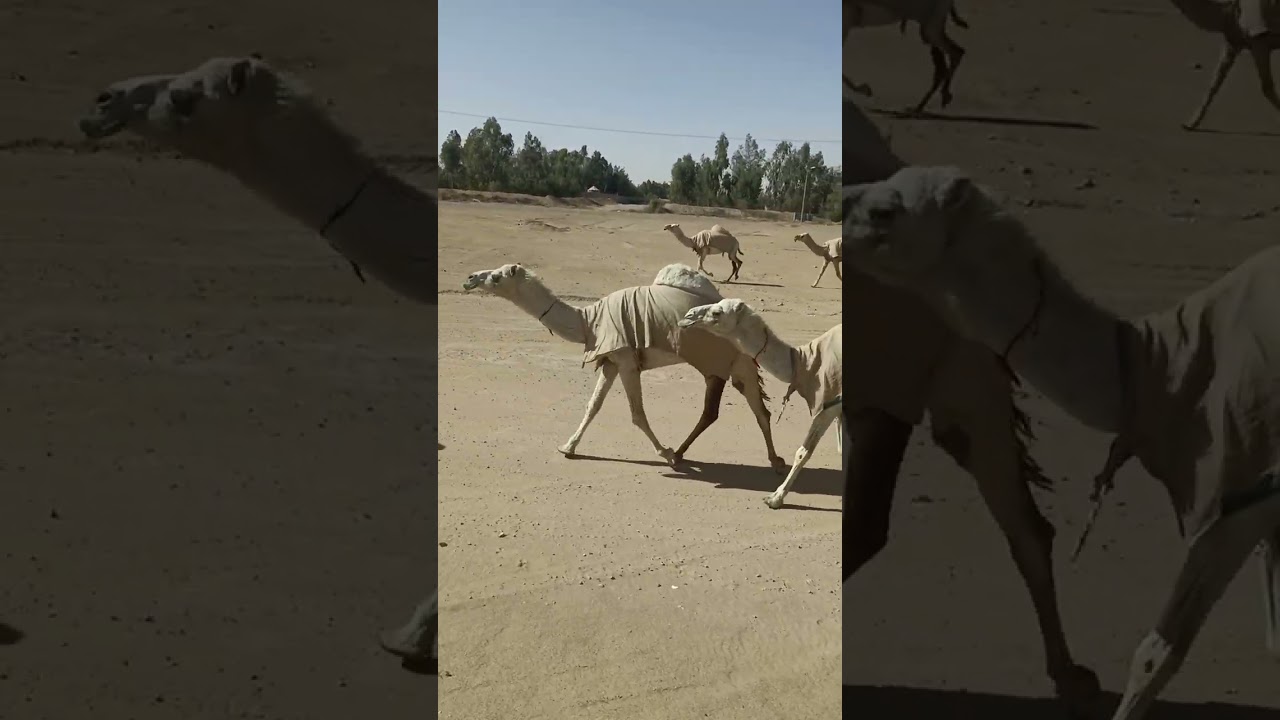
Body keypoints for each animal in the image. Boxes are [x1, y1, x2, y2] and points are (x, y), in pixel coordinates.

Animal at [462, 262, 786, 473]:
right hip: (730, 365)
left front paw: (664, 453)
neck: (589, 321)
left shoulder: (627, 359)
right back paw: (770, 460)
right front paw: (568, 447)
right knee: (747, 409)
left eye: (496, 277)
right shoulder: (611, 360)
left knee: (732, 411)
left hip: (728, 361)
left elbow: (637, 414)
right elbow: (593, 405)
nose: (470, 278)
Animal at [679, 299, 843, 509]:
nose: (688, 316)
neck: (800, 361)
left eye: (717, 312)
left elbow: (802, 452)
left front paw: (775, 499)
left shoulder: (828, 404)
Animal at [841, 98, 1101, 715]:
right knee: (1024, 521)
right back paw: (1069, 674)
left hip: (903, 367)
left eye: (885, 212)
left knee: (869, 525)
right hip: (954, 374)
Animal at [1167, 0, 1280, 130]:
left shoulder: (1259, 40)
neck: (1227, 12)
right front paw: (1190, 123)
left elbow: (1267, 87)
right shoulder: (1233, 42)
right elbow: (1214, 85)